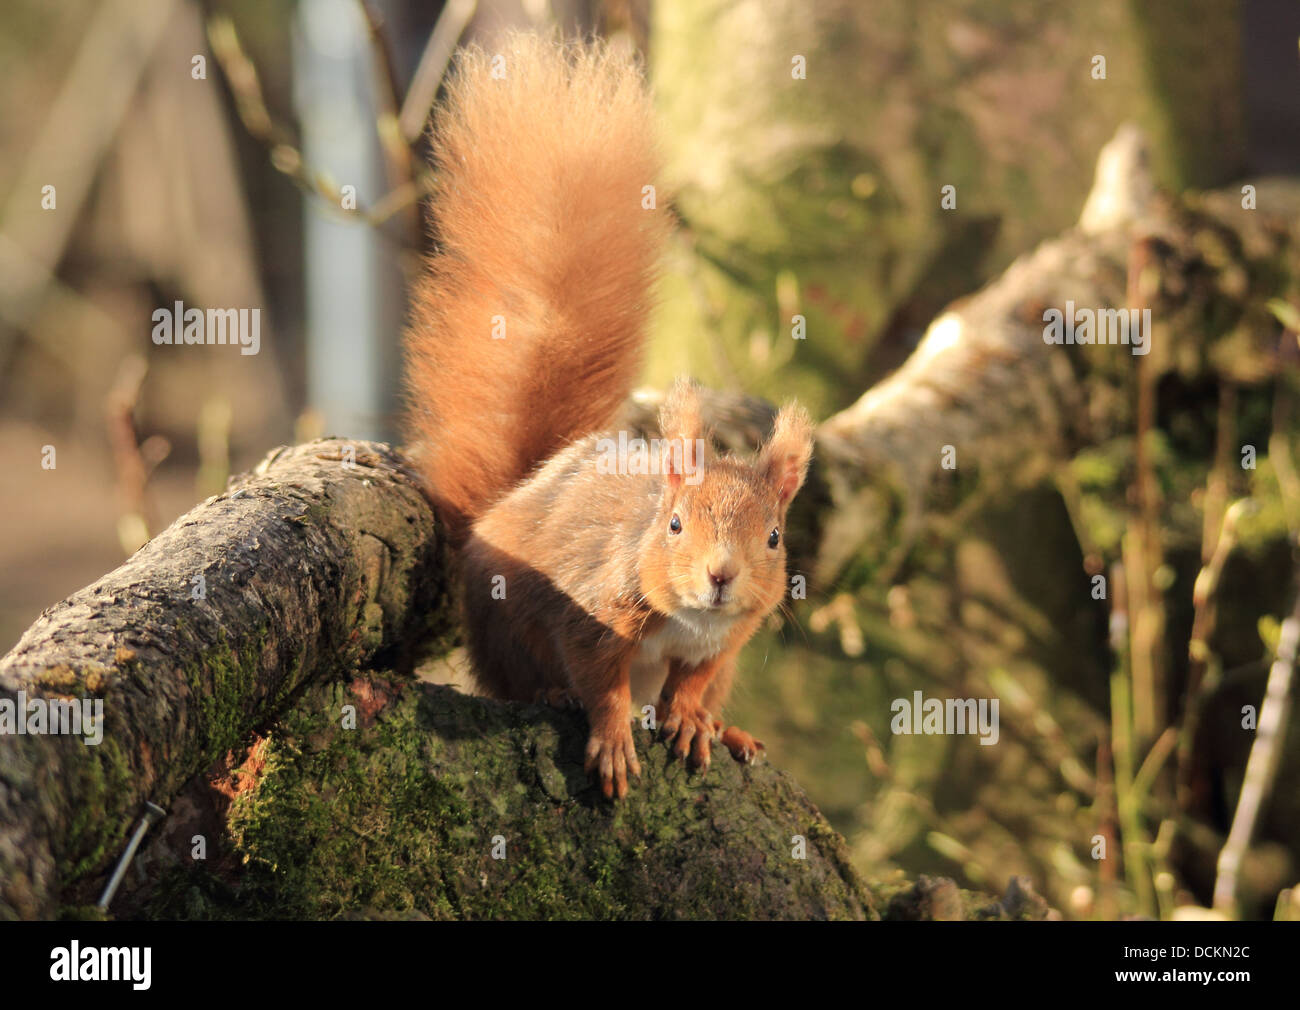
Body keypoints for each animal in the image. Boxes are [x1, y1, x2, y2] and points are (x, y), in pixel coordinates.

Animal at [403, 31, 811, 795]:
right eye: (674, 523)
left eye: (774, 538)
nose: (721, 576)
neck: (690, 621)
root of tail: (516, 490)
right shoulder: (595, 606)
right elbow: (601, 679)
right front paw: (615, 737)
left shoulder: (727, 643)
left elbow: (693, 681)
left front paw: (689, 721)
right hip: (503, 623)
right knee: (518, 680)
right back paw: (550, 694)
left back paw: (725, 728)